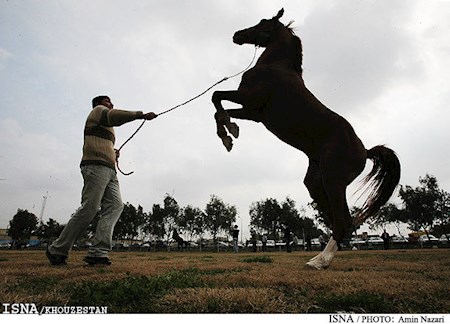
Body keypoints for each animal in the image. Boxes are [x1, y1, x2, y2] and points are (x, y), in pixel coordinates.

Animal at [212, 8, 400, 270]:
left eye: (263, 23)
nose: (237, 35)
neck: (275, 67)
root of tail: (365, 151)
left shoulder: (248, 100)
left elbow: (216, 96)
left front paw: (228, 134)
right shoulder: (253, 113)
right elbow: (219, 108)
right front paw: (229, 134)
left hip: (333, 181)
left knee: (343, 220)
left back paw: (319, 261)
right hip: (316, 183)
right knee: (341, 221)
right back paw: (320, 256)